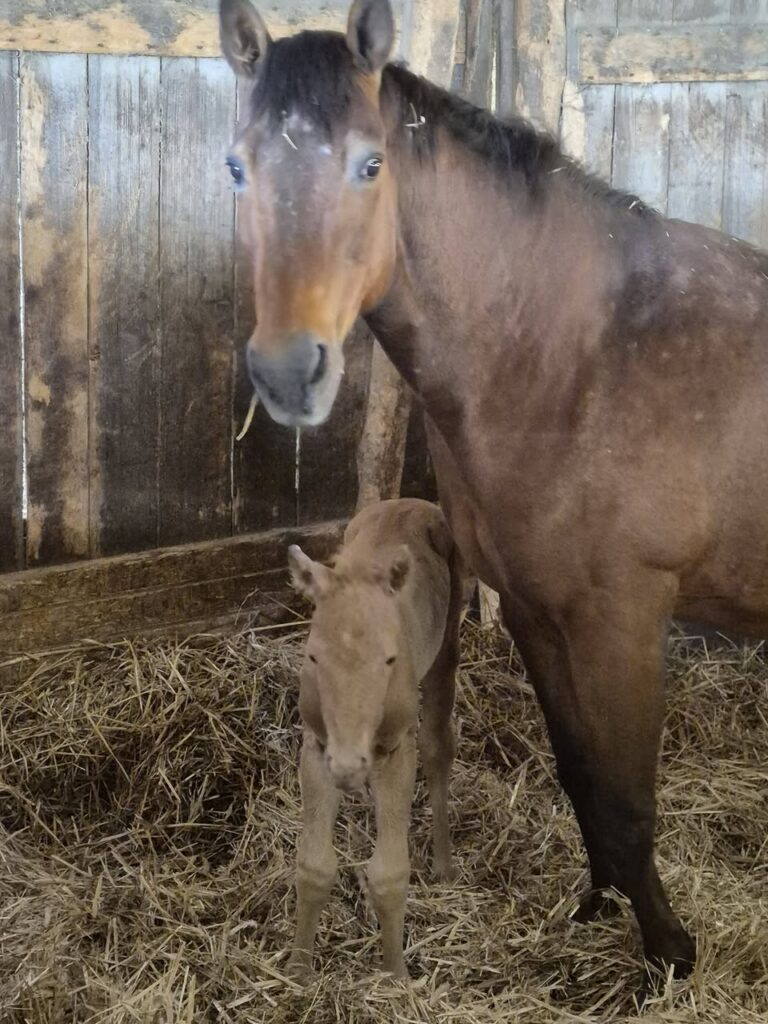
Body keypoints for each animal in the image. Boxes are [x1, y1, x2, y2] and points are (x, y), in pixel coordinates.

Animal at [286, 498, 463, 979]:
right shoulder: (317, 746)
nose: (350, 767)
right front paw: (297, 972)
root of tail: (413, 502)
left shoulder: (396, 749)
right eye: (313, 656)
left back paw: (443, 865)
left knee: (438, 746)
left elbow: (389, 873)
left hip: (446, 642)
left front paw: (396, 976)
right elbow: (313, 865)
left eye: (389, 659)